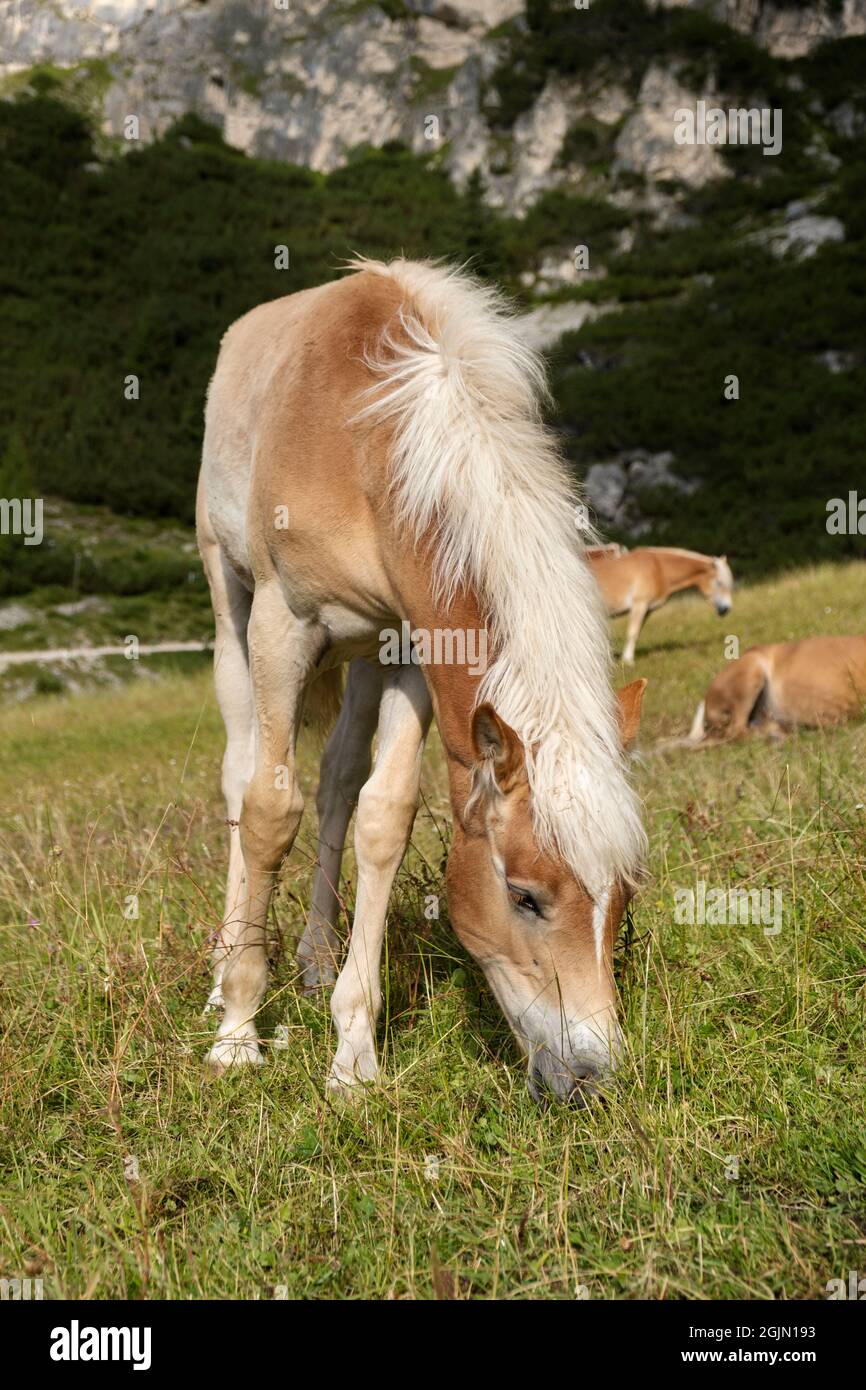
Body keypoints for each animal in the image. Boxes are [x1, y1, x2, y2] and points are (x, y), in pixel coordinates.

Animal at [196, 257, 647, 1103]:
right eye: (526, 896)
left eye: (623, 897)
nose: (593, 1073)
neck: (366, 443)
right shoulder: (282, 623)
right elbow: (270, 809)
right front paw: (237, 1030)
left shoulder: (410, 642)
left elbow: (384, 816)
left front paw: (352, 1054)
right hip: (229, 604)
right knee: (242, 775)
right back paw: (223, 976)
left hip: (366, 654)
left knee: (340, 781)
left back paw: (314, 960)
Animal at [587, 546, 734, 665]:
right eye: (719, 583)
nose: (726, 609)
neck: (658, 568)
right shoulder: (639, 604)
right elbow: (632, 632)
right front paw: (628, 661)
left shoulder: (647, 610)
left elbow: (637, 633)